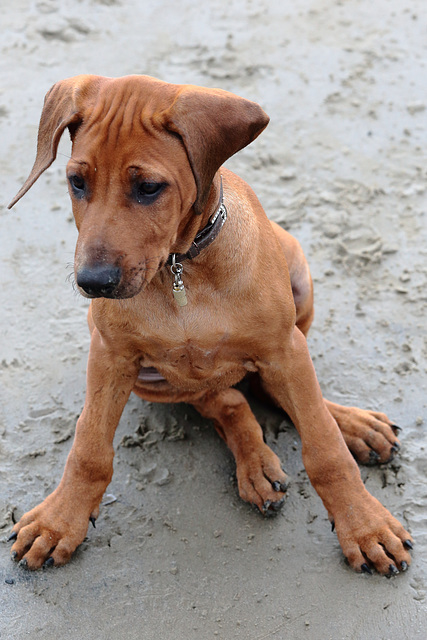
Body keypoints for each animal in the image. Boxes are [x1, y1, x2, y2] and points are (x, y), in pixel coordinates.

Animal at [7, 75, 414, 576]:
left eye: (149, 188)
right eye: (77, 182)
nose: (93, 283)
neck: (181, 268)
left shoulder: (284, 349)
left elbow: (325, 447)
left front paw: (365, 525)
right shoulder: (110, 355)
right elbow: (89, 447)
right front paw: (60, 520)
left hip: (296, 267)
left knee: (285, 394)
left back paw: (355, 425)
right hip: (151, 377)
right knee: (228, 400)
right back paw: (257, 463)